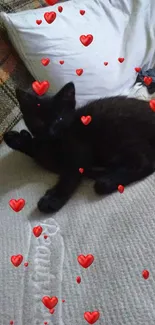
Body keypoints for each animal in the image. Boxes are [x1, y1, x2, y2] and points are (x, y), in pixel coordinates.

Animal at [3, 81, 155, 213]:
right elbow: (39, 152)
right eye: (38, 121)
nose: (50, 132)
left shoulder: (78, 149)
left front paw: (53, 199)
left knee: (146, 162)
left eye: (59, 119)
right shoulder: (45, 151)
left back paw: (107, 181)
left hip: (120, 133)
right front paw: (15, 138)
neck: (54, 143)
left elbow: (70, 175)